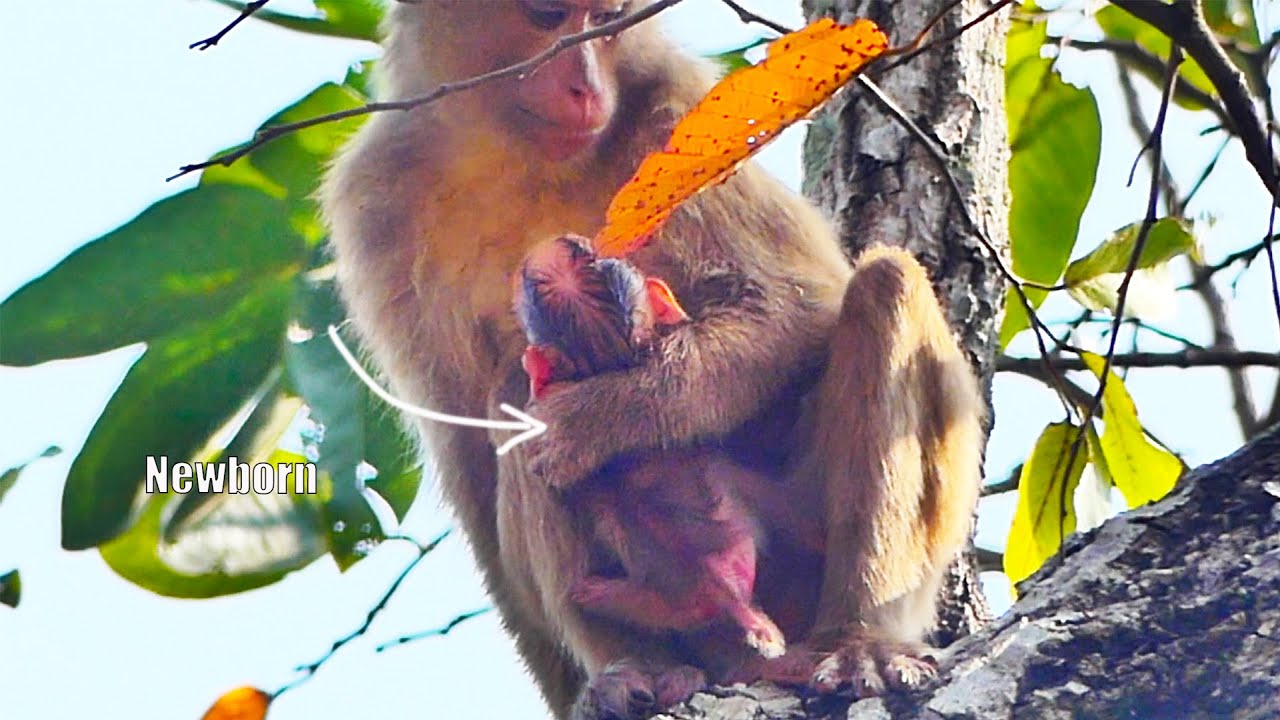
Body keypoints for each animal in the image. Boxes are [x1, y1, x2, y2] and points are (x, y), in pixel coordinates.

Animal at [321, 2, 984, 719]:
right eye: (549, 17)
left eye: (607, 21)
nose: (586, 88)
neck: (519, 152)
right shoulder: (377, 204)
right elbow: (465, 446)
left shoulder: (681, 112)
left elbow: (796, 305)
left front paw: (594, 420)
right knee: (510, 404)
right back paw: (635, 668)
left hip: (798, 543)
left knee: (885, 286)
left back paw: (861, 637)